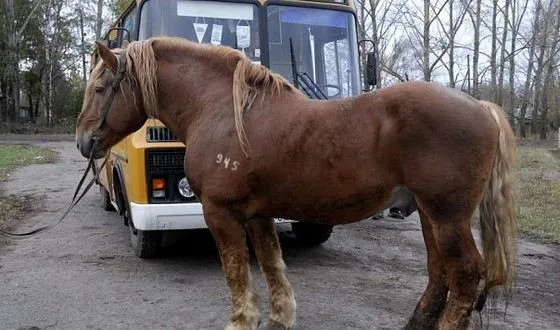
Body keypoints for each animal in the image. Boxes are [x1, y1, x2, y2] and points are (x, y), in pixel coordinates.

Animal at [75, 37, 516, 328]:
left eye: (99, 87)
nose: (83, 141)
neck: (221, 110)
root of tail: (481, 106)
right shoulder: (257, 215)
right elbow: (273, 266)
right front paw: (280, 318)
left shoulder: (221, 213)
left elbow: (237, 272)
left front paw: (242, 321)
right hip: (429, 213)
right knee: (439, 273)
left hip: (447, 217)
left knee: (464, 276)